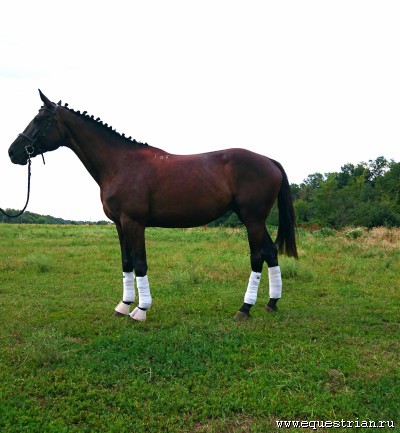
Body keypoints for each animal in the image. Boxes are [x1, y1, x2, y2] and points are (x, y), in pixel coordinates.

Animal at [8, 90, 298, 321]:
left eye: (39, 120)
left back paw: (244, 309)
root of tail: (269, 161)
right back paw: (272, 303)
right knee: (271, 253)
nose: (13, 152)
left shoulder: (134, 223)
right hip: (255, 220)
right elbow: (126, 263)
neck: (120, 164)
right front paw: (123, 306)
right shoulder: (119, 225)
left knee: (257, 257)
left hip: (252, 219)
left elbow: (140, 263)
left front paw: (141, 310)